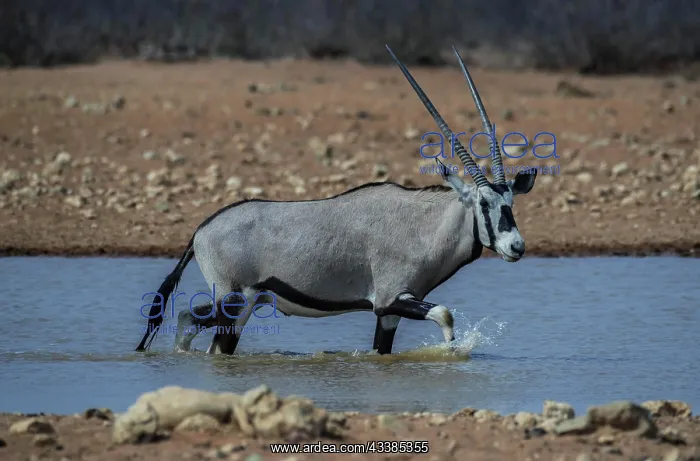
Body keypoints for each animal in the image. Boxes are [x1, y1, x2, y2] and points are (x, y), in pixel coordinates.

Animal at [135, 45, 537, 355]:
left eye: (510, 203)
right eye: (483, 204)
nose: (515, 246)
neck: (424, 226)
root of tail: (201, 231)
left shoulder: (389, 313)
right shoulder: (391, 298)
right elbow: (445, 314)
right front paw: (451, 349)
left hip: (239, 302)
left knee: (187, 318)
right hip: (237, 303)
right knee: (214, 343)